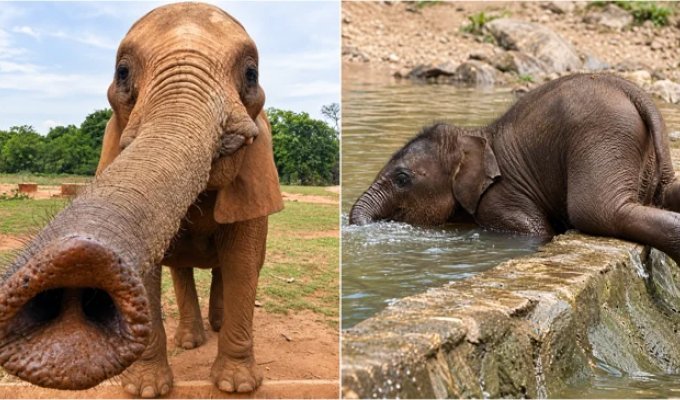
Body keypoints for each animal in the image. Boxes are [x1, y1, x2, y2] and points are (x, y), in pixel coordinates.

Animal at [0, 3, 283, 398]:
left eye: (251, 74)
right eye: (122, 72)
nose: (74, 265)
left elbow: (242, 262)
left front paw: (236, 385)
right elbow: (148, 268)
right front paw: (146, 388)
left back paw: (215, 327)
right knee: (182, 269)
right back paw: (191, 341)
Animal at [350, 73, 680, 264]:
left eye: (402, 178)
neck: (473, 136)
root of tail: (636, 92)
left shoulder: (500, 198)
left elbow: (536, 230)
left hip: (602, 134)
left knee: (597, 211)